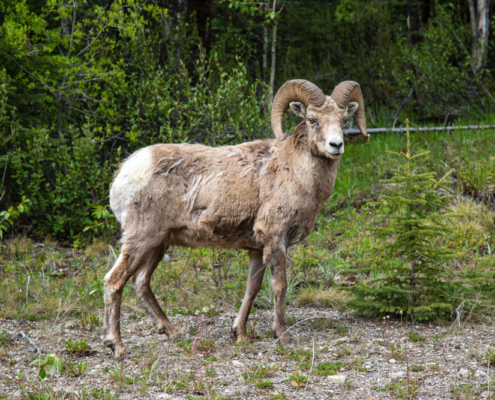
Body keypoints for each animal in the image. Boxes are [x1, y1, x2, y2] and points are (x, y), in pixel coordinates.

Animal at [104, 78, 368, 356]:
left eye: (343, 119)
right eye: (312, 119)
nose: (336, 145)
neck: (295, 172)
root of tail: (124, 173)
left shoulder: (257, 248)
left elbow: (252, 287)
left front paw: (239, 334)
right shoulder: (276, 239)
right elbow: (280, 285)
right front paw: (283, 336)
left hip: (158, 243)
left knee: (141, 282)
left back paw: (172, 332)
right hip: (141, 239)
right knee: (114, 281)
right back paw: (117, 346)